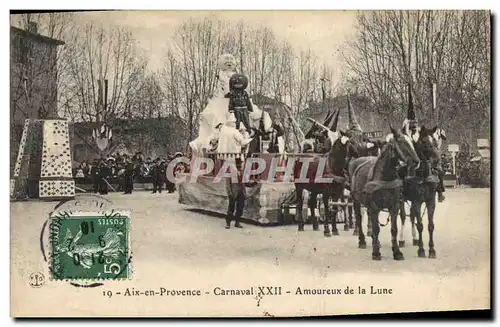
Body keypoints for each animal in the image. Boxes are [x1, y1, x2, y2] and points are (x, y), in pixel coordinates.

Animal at [346, 126, 420, 262]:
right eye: (400, 142)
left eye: (411, 142)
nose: (416, 162)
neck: (385, 177)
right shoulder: (374, 206)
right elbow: (376, 228)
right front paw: (376, 252)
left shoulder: (394, 205)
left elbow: (393, 229)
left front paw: (397, 251)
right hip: (356, 200)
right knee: (359, 217)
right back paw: (362, 240)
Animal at [396, 126, 440, 258]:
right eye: (425, 142)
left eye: (435, 141)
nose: (437, 159)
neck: (423, 175)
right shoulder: (417, 201)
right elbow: (420, 225)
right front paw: (421, 250)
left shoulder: (430, 202)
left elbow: (430, 225)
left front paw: (432, 249)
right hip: (401, 200)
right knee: (403, 216)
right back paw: (401, 240)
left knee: (411, 216)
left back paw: (415, 238)